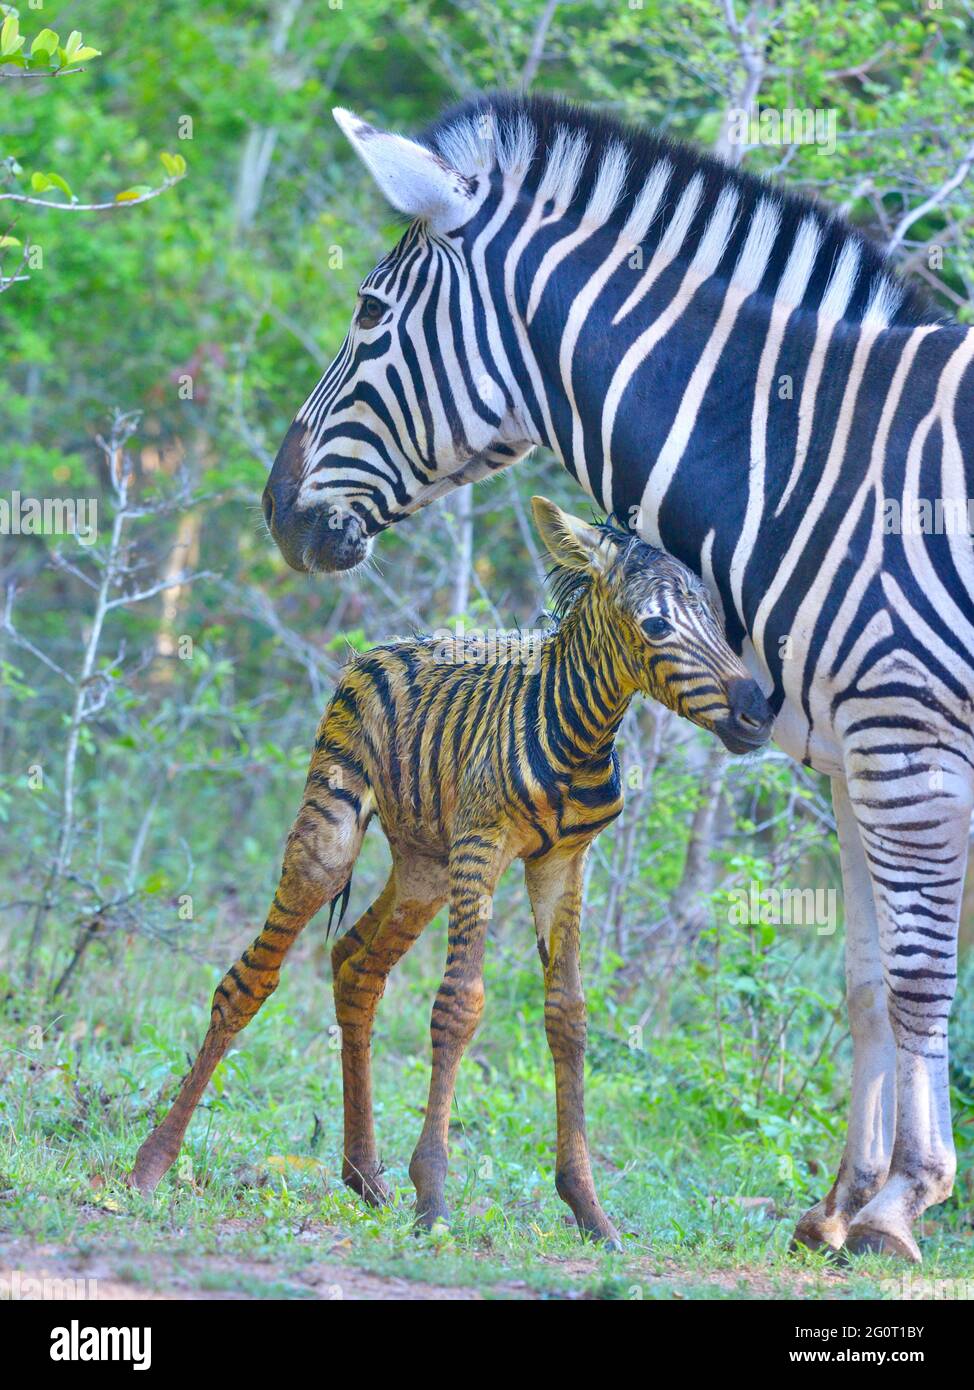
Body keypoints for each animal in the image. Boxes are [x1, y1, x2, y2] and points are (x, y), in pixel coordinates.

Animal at [129, 503, 772, 1251]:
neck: (579, 734)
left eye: (719, 618)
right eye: (655, 626)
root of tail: (378, 648)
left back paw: (365, 1174)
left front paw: (589, 1210)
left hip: (424, 869)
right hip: (335, 830)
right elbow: (460, 1005)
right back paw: (151, 1163)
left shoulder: (562, 862)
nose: (759, 713)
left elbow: (568, 1015)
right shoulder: (482, 845)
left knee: (356, 964)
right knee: (249, 980)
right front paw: (433, 1198)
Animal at [259, 92, 972, 1267]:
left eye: (368, 313)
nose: (278, 511)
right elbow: (867, 982)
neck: (815, 460)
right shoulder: (851, 757)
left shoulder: (906, 743)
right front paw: (840, 1205)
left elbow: (917, 979)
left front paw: (898, 1206)